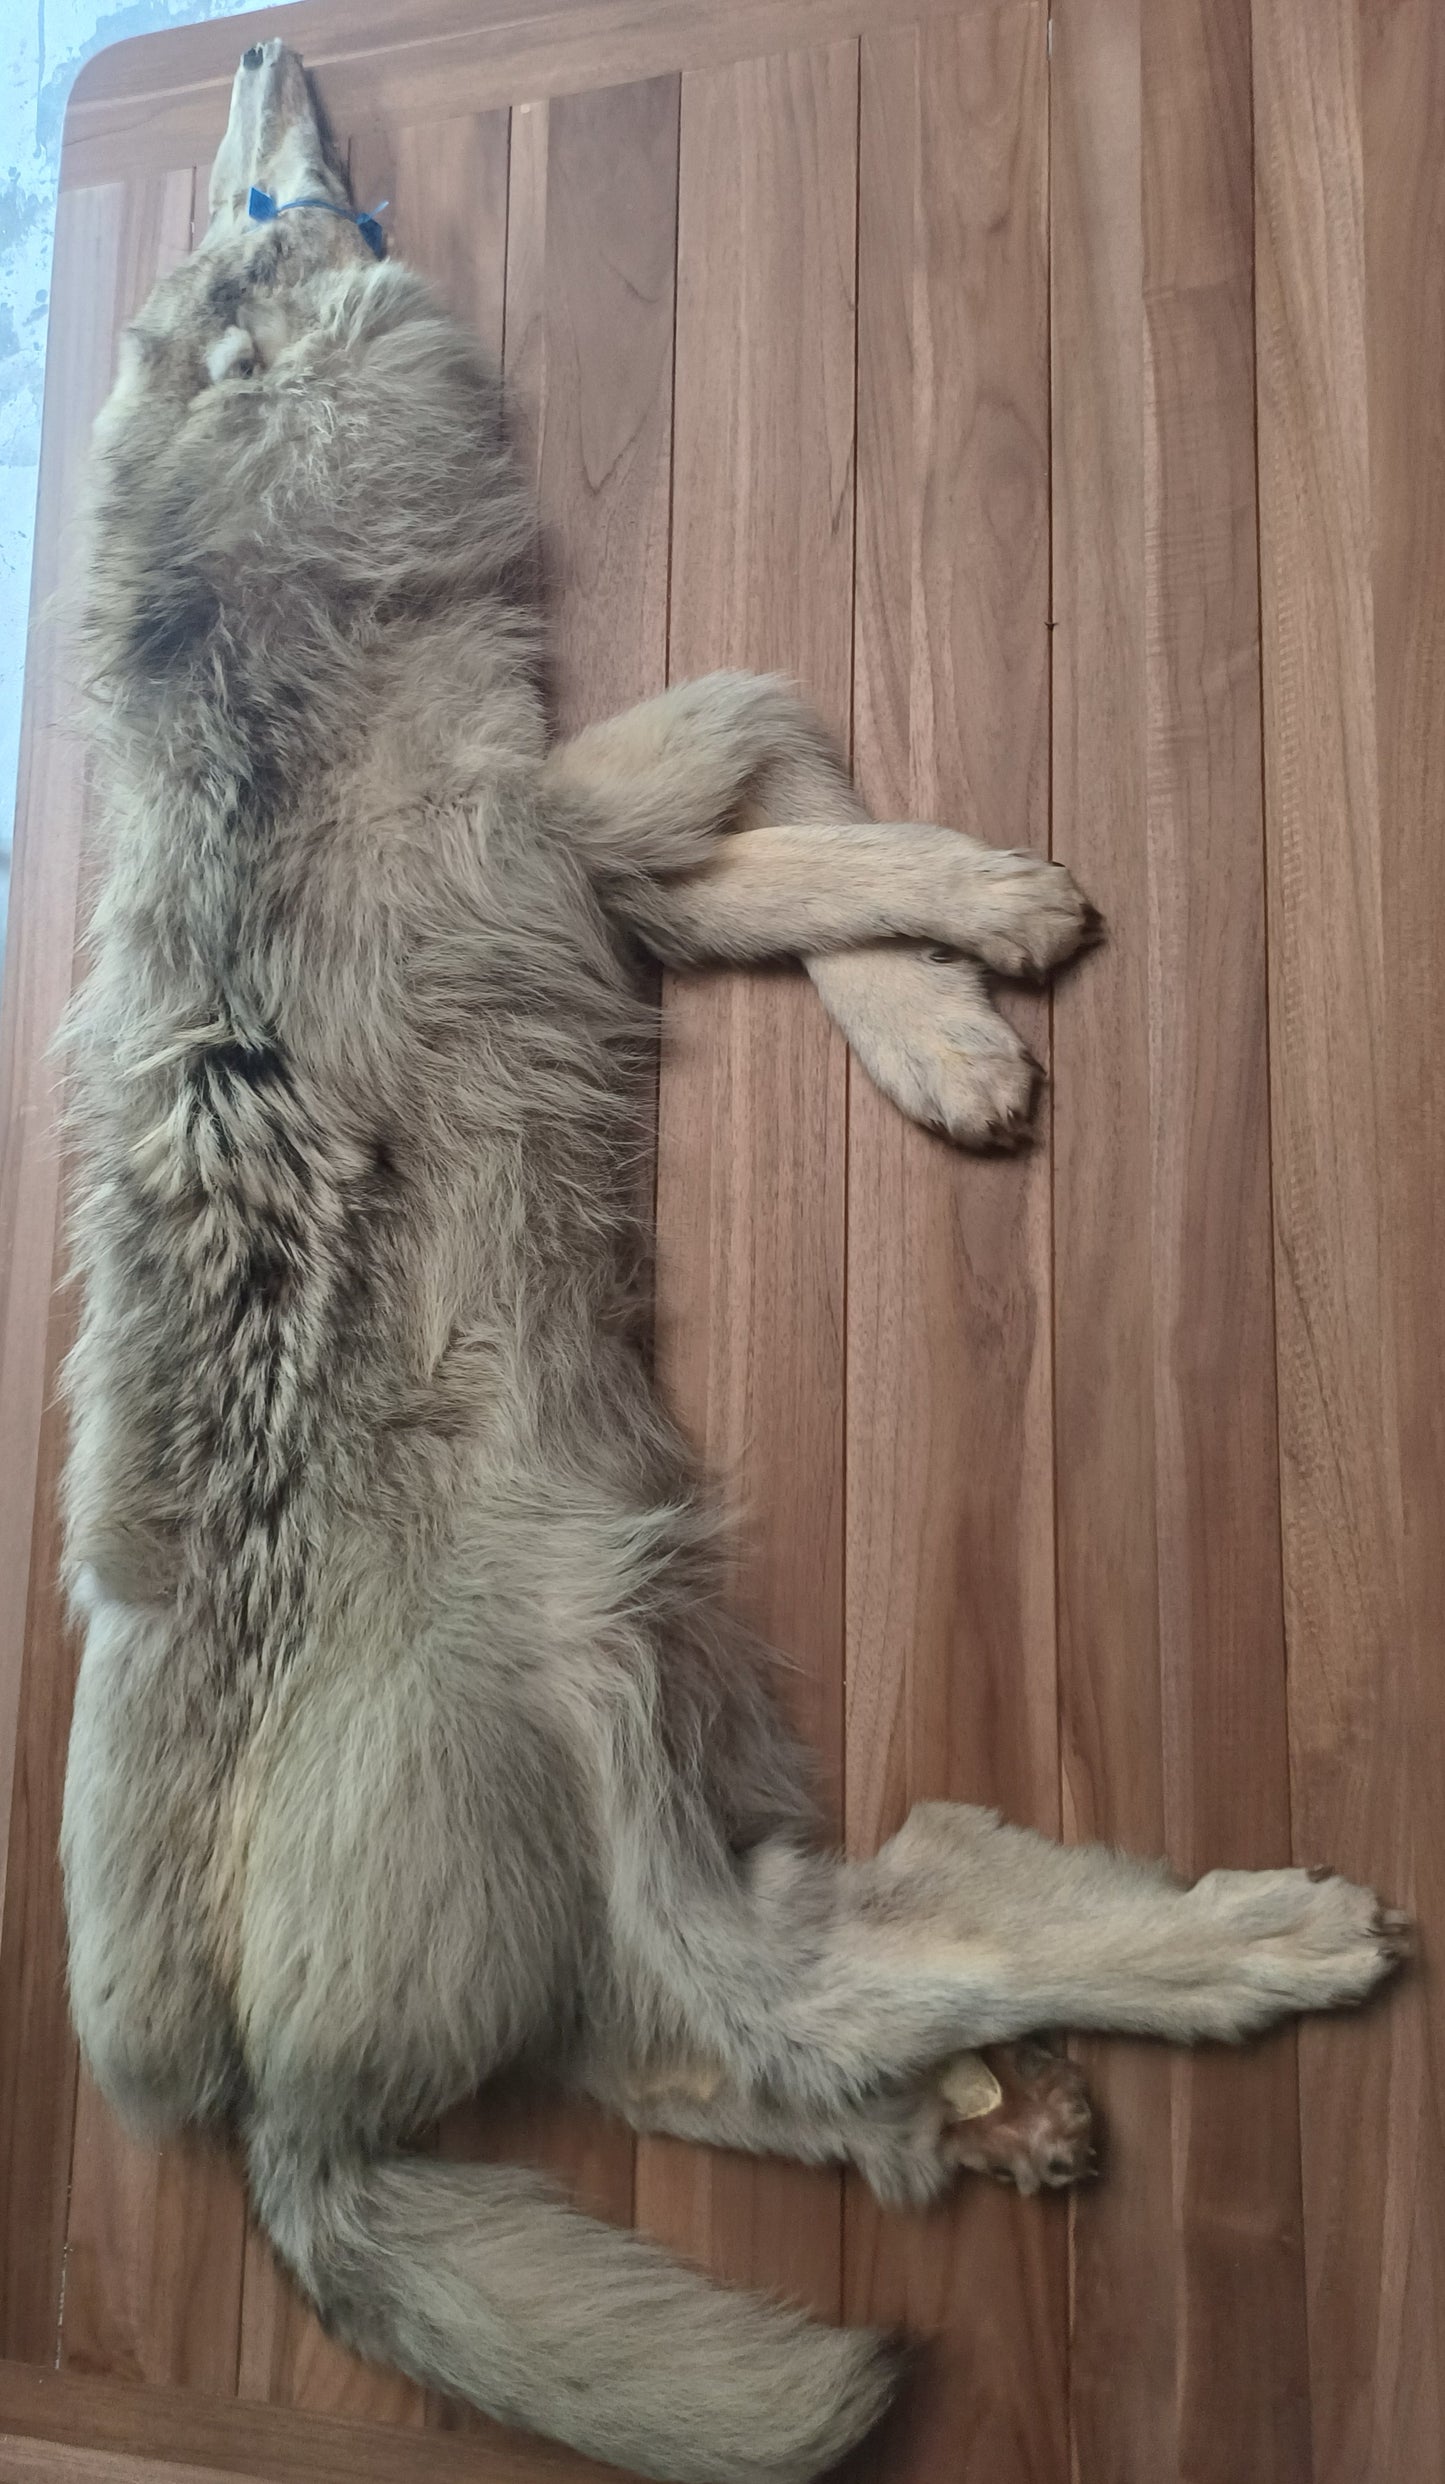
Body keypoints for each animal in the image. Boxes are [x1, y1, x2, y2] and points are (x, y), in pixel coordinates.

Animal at [57, 40, 1408, 2483]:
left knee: (765, 2044)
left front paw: (940, 1033)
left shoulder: (614, 842)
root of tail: (278, 2129)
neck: (267, 582)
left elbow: (800, 791)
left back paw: (998, 2113)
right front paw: (982, 941)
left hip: (632, 1850)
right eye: (265, 205)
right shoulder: (587, 828)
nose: (264, 48)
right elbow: (814, 803)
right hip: (608, 1697)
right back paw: (1243, 1947)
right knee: (848, 1971)